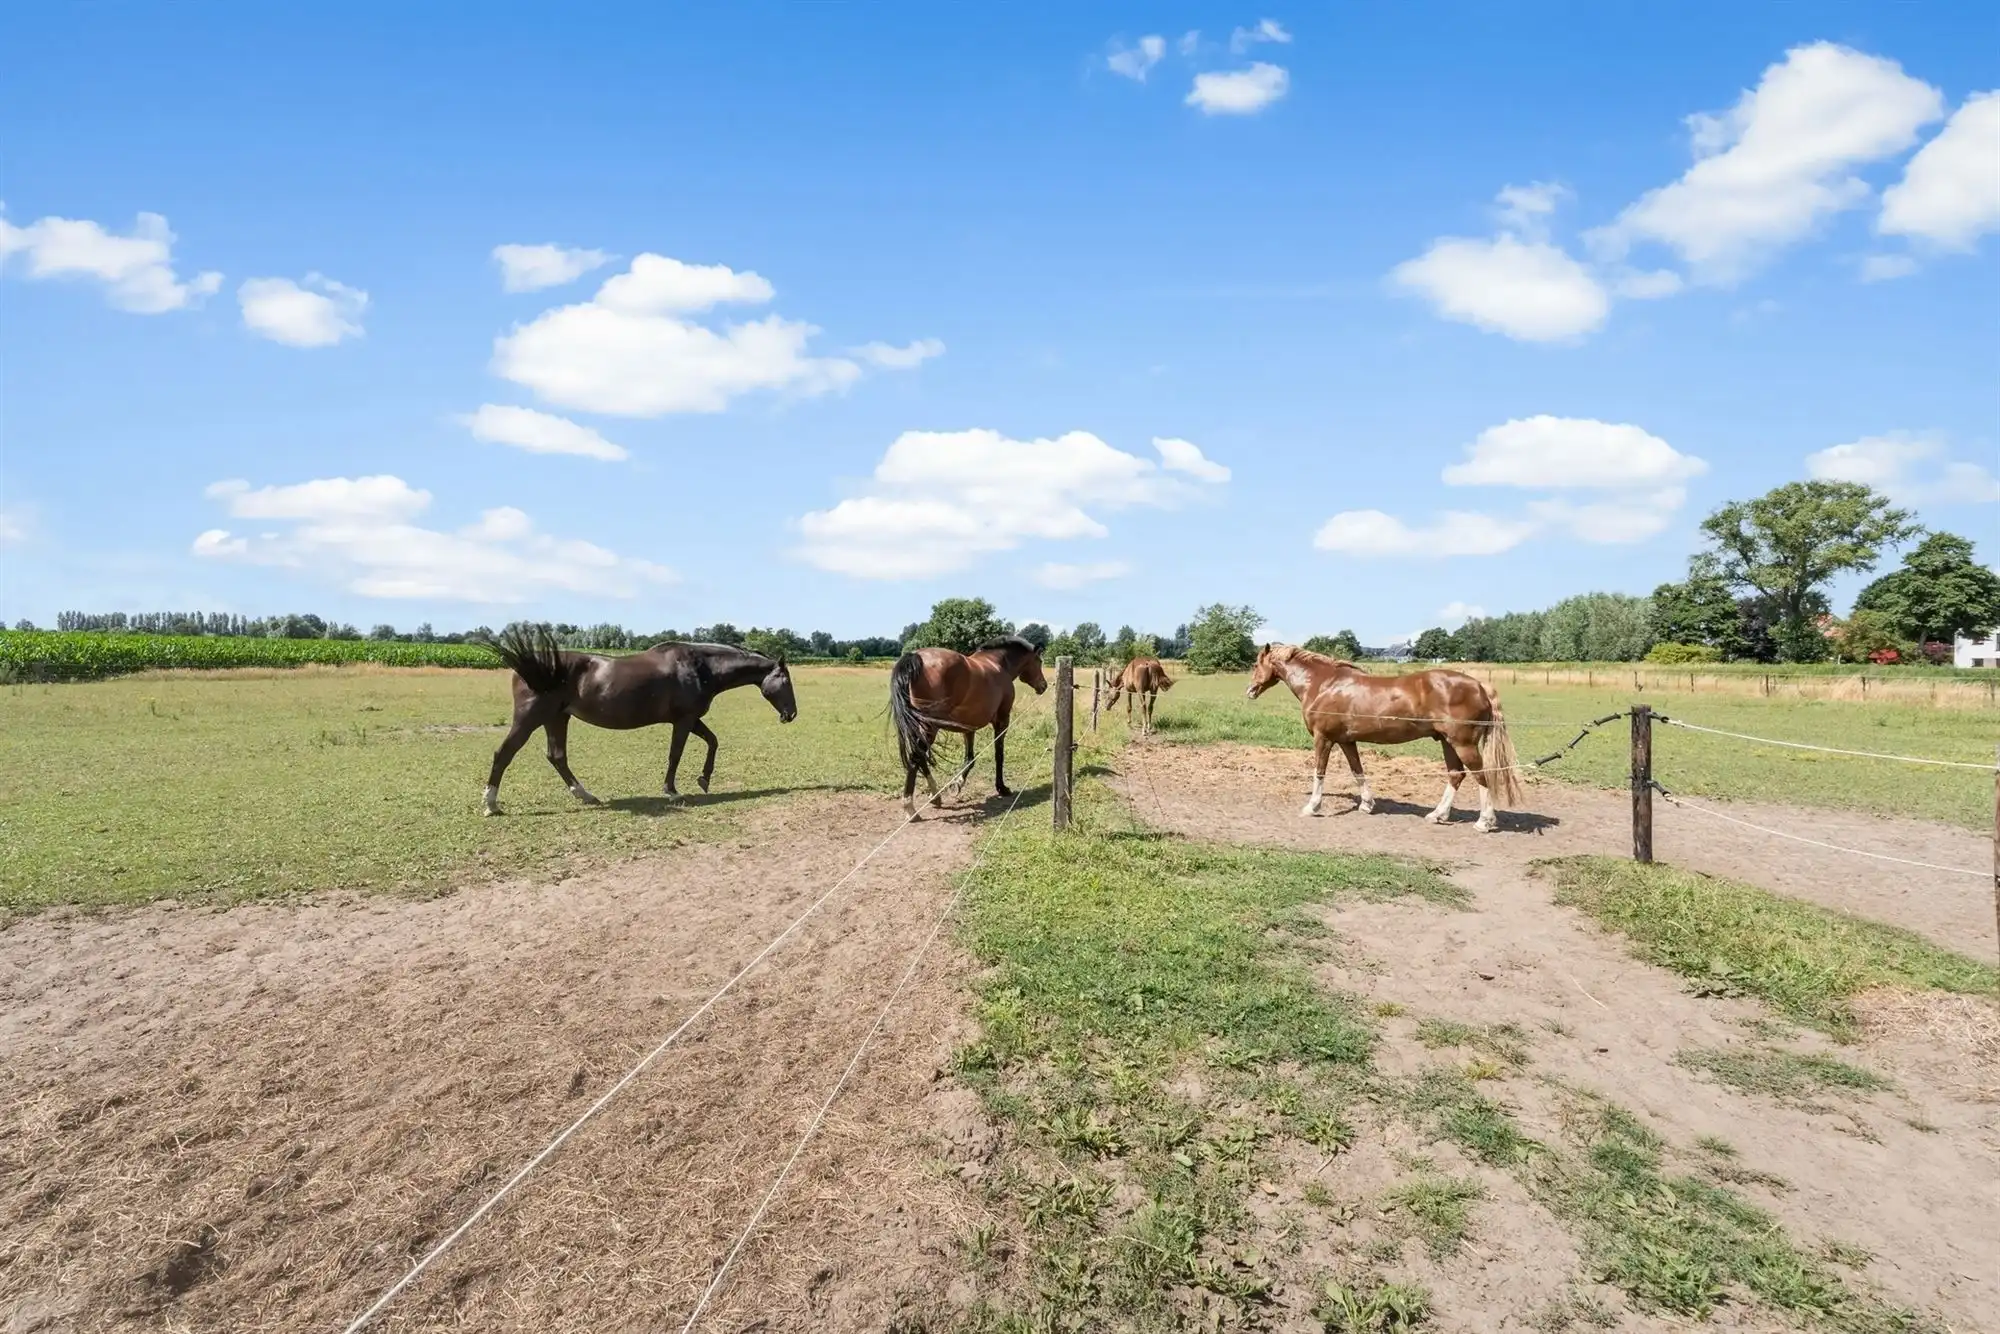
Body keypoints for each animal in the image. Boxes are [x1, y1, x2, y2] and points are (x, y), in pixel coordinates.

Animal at [480, 625, 797, 816]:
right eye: (786, 681)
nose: (791, 714)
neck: (699, 667)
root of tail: (528, 665)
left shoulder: (691, 719)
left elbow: (713, 741)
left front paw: (704, 779)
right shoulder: (683, 720)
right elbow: (675, 754)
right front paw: (672, 792)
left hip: (557, 718)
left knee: (556, 756)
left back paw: (586, 796)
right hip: (530, 718)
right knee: (504, 753)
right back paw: (491, 804)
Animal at [888, 636, 1047, 816]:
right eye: (1039, 661)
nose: (1043, 685)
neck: (999, 664)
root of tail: (916, 657)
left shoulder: (969, 727)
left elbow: (970, 759)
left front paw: (957, 784)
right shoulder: (1002, 721)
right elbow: (999, 754)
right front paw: (1002, 788)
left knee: (920, 757)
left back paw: (935, 796)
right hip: (930, 726)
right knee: (917, 756)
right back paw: (910, 807)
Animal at [1244, 643, 1522, 832]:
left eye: (1256, 664)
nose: (1250, 691)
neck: (1323, 684)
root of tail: (1480, 686)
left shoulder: (1323, 738)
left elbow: (1319, 772)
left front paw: (1312, 807)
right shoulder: (1346, 740)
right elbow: (1357, 770)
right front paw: (1367, 805)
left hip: (1462, 743)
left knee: (1482, 776)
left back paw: (1484, 822)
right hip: (1447, 742)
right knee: (1456, 774)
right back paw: (1438, 815)